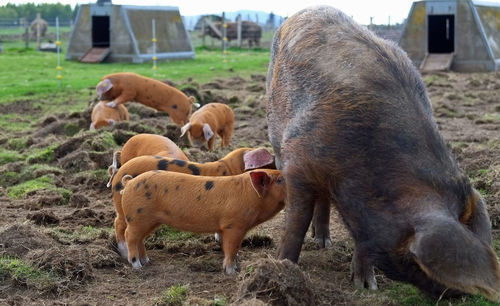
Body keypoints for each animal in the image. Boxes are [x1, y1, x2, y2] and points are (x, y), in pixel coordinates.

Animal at [109, 147, 276, 260]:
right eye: (270, 164)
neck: (230, 169)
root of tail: (120, 174)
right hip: (124, 208)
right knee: (119, 224)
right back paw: (124, 252)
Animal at [120, 170, 286, 272]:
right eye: (280, 180)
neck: (251, 195)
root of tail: (129, 183)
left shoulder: (225, 227)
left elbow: (230, 248)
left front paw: (237, 265)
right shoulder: (233, 225)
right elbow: (232, 248)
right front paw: (232, 271)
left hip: (149, 221)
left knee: (140, 239)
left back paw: (147, 261)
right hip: (137, 217)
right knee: (130, 236)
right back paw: (137, 265)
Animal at [268, 4, 500, 302]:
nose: (460, 296)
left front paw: (366, 287)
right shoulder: (298, 161)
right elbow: (296, 222)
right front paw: (282, 266)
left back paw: (324, 242)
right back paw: (319, 243)